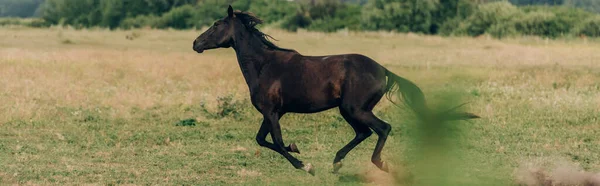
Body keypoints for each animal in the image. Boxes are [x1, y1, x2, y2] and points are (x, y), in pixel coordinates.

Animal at [192, 5, 478, 175]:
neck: (264, 66)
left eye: (216, 25)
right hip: (348, 110)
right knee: (364, 132)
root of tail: (383, 69)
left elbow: (278, 142)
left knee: (382, 128)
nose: (195, 43)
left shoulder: (272, 112)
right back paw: (337, 162)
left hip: (354, 108)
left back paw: (380, 164)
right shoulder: (273, 113)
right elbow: (263, 140)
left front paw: (305, 165)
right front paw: (299, 151)